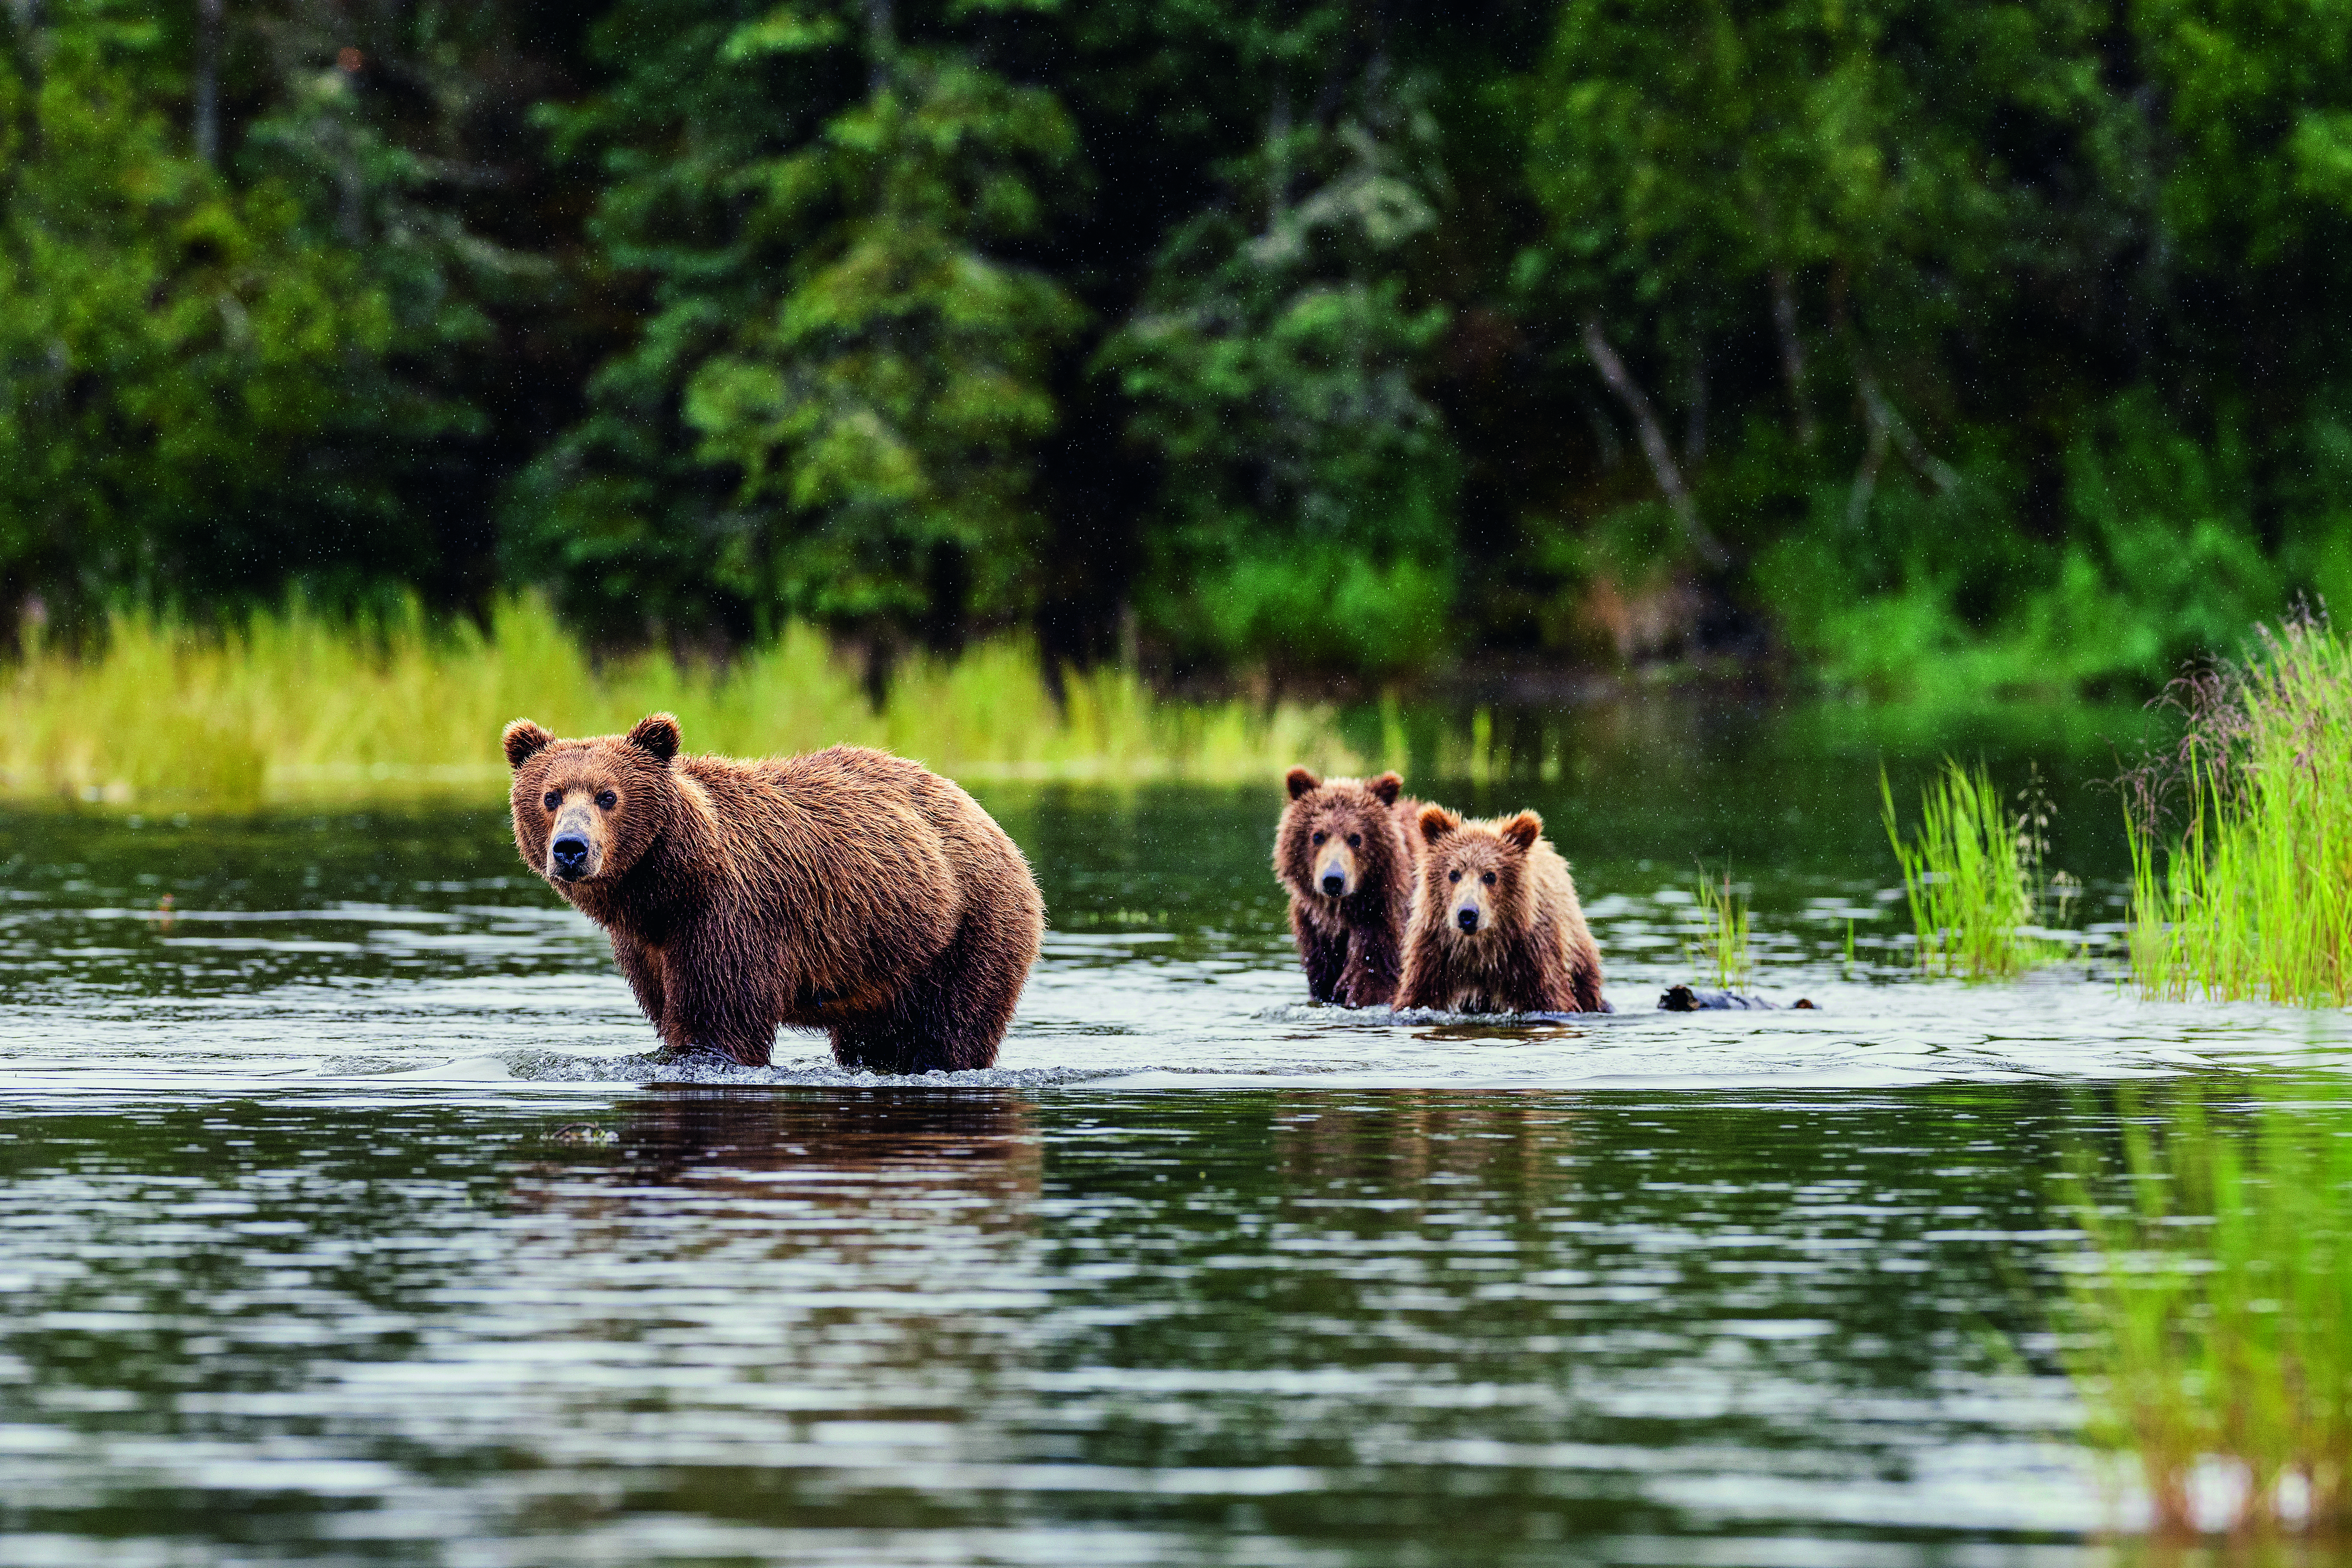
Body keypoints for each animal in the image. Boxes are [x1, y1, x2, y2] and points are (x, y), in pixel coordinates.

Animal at [502, 712, 1045, 1073]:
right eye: (550, 796)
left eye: (608, 796)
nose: (570, 848)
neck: (666, 888)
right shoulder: (648, 946)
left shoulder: (731, 917)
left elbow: (719, 1022)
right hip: (885, 964)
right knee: (873, 1038)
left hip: (968, 929)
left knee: (952, 1030)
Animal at [1273, 766, 1425, 1007]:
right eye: (1318, 836)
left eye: (1356, 838)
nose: (1333, 879)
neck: (1341, 914)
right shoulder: (1315, 935)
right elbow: (1322, 980)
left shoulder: (1381, 923)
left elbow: (1373, 979)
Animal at [1395, 805, 1608, 1014]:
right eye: (1453, 874)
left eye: (1490, 876)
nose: (1468, 914)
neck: (1480, 951)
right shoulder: (1434, 955)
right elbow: (1417, 997)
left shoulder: (1533, 958)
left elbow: (1550, 999)